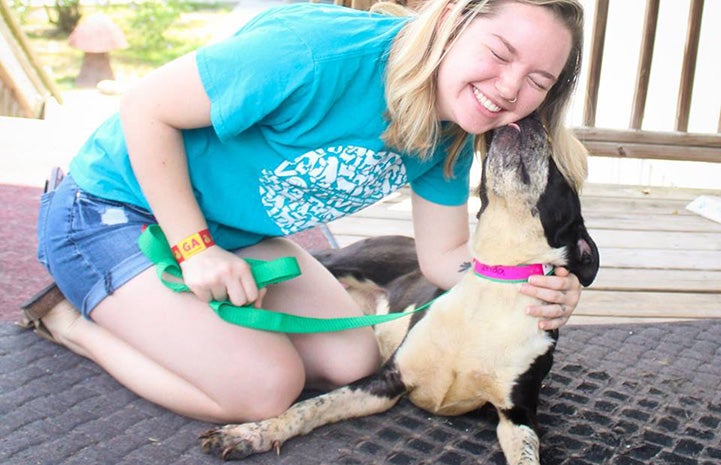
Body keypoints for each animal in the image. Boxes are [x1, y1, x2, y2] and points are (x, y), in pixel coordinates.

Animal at [200, 113, 600, 464]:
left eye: (561, 174)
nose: (529, 116)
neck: (497, 278)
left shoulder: (517, 414)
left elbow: (527, 454)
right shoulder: (386, 380)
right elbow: (307, 407)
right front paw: (250, 433)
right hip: (341, 262)